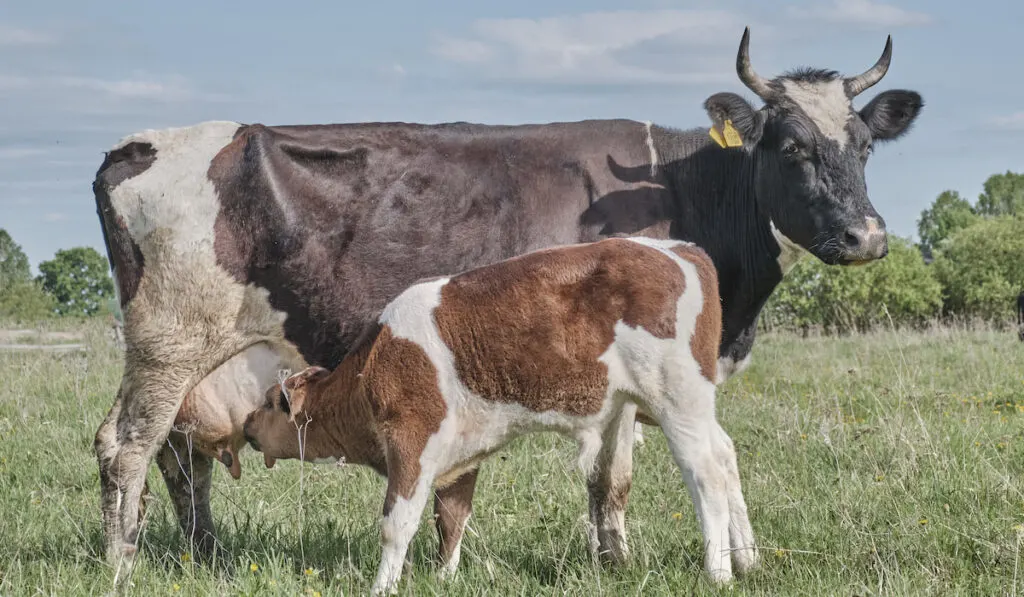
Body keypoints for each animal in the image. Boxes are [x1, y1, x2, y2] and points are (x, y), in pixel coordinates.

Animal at [243, 238, 761, 593]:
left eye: (270, 402)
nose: (246, 426)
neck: (376, 360)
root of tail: (679, 249)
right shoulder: (461, 455)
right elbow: (451, 519)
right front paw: (444, 577)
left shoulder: (413, 438)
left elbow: (396, 524)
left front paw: (382, 587)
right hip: (681, 403)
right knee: (726, 456)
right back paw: (748, 559)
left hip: (677, 400)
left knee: (706, 473)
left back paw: (718, 571)